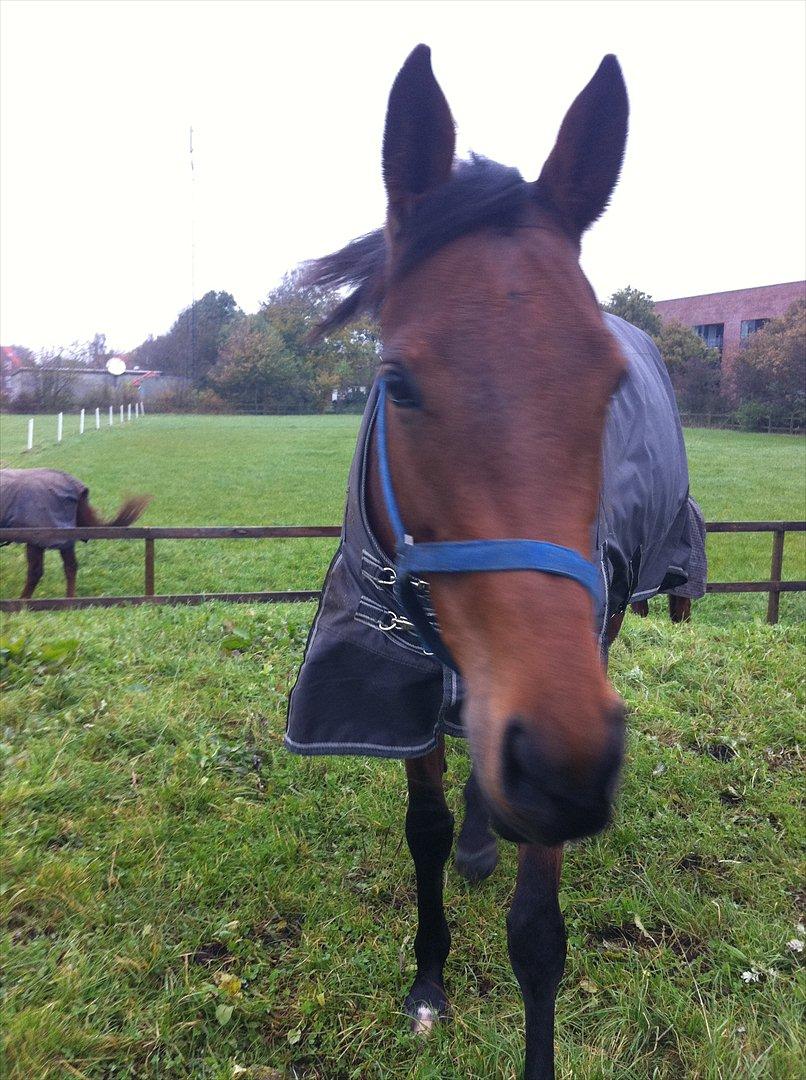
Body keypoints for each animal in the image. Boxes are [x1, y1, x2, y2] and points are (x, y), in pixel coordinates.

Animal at [285, 44, 704, 1080]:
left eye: (609, 385)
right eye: (395, 381)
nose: (563, 765)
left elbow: (537, 933)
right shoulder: (396, 676)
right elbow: (426, 832)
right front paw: (429, 980)